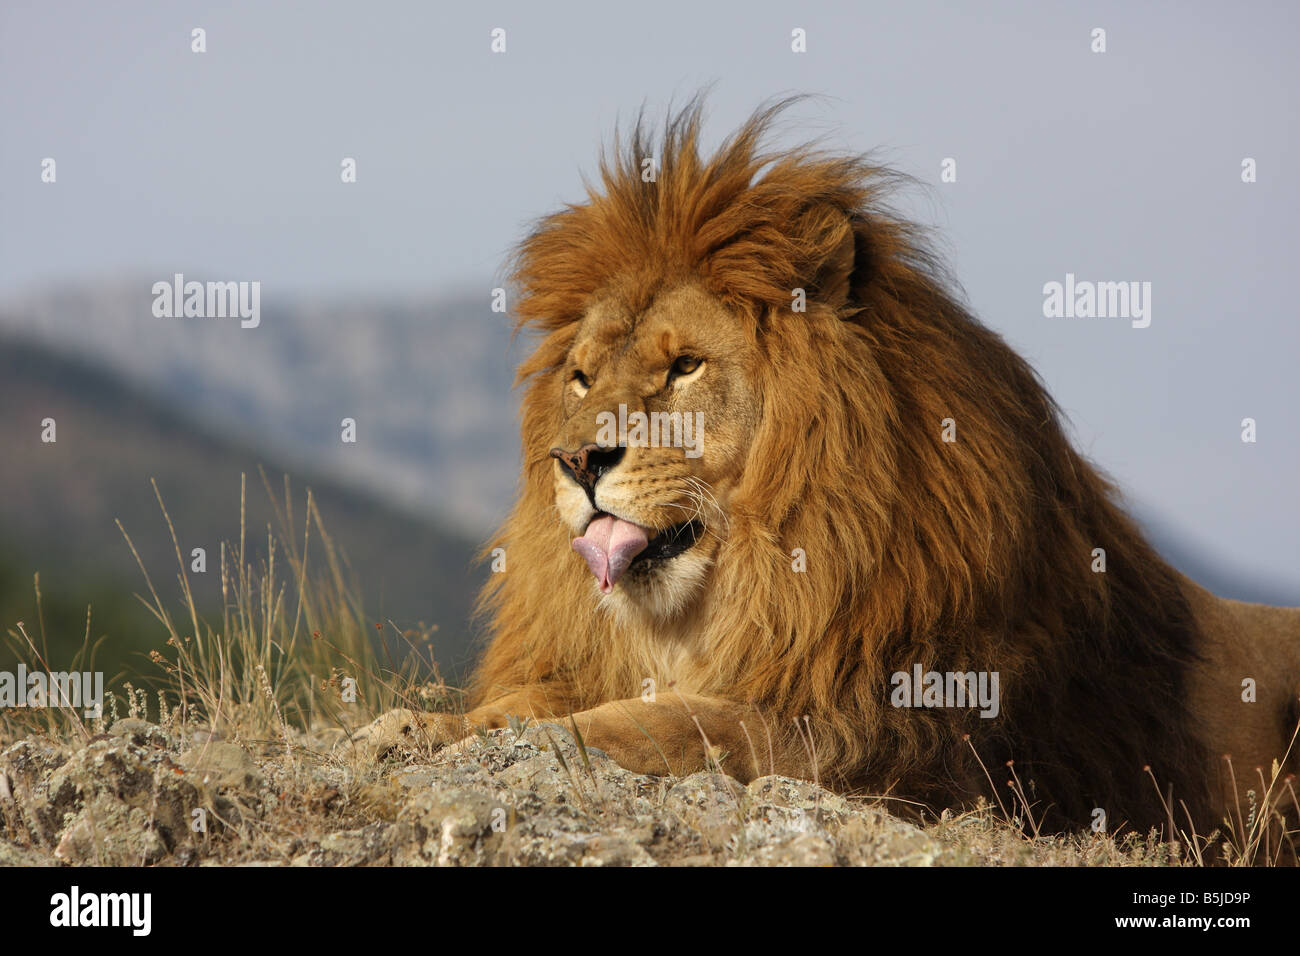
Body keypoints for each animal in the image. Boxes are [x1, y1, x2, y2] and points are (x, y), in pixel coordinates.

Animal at [356, 99, 1300, 841]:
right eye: (582, 378)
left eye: (686, 366)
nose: (579, 458)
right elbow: (530, 707)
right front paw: (406, 727)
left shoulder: (870, 733)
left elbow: (662, 726)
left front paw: (512, 742)